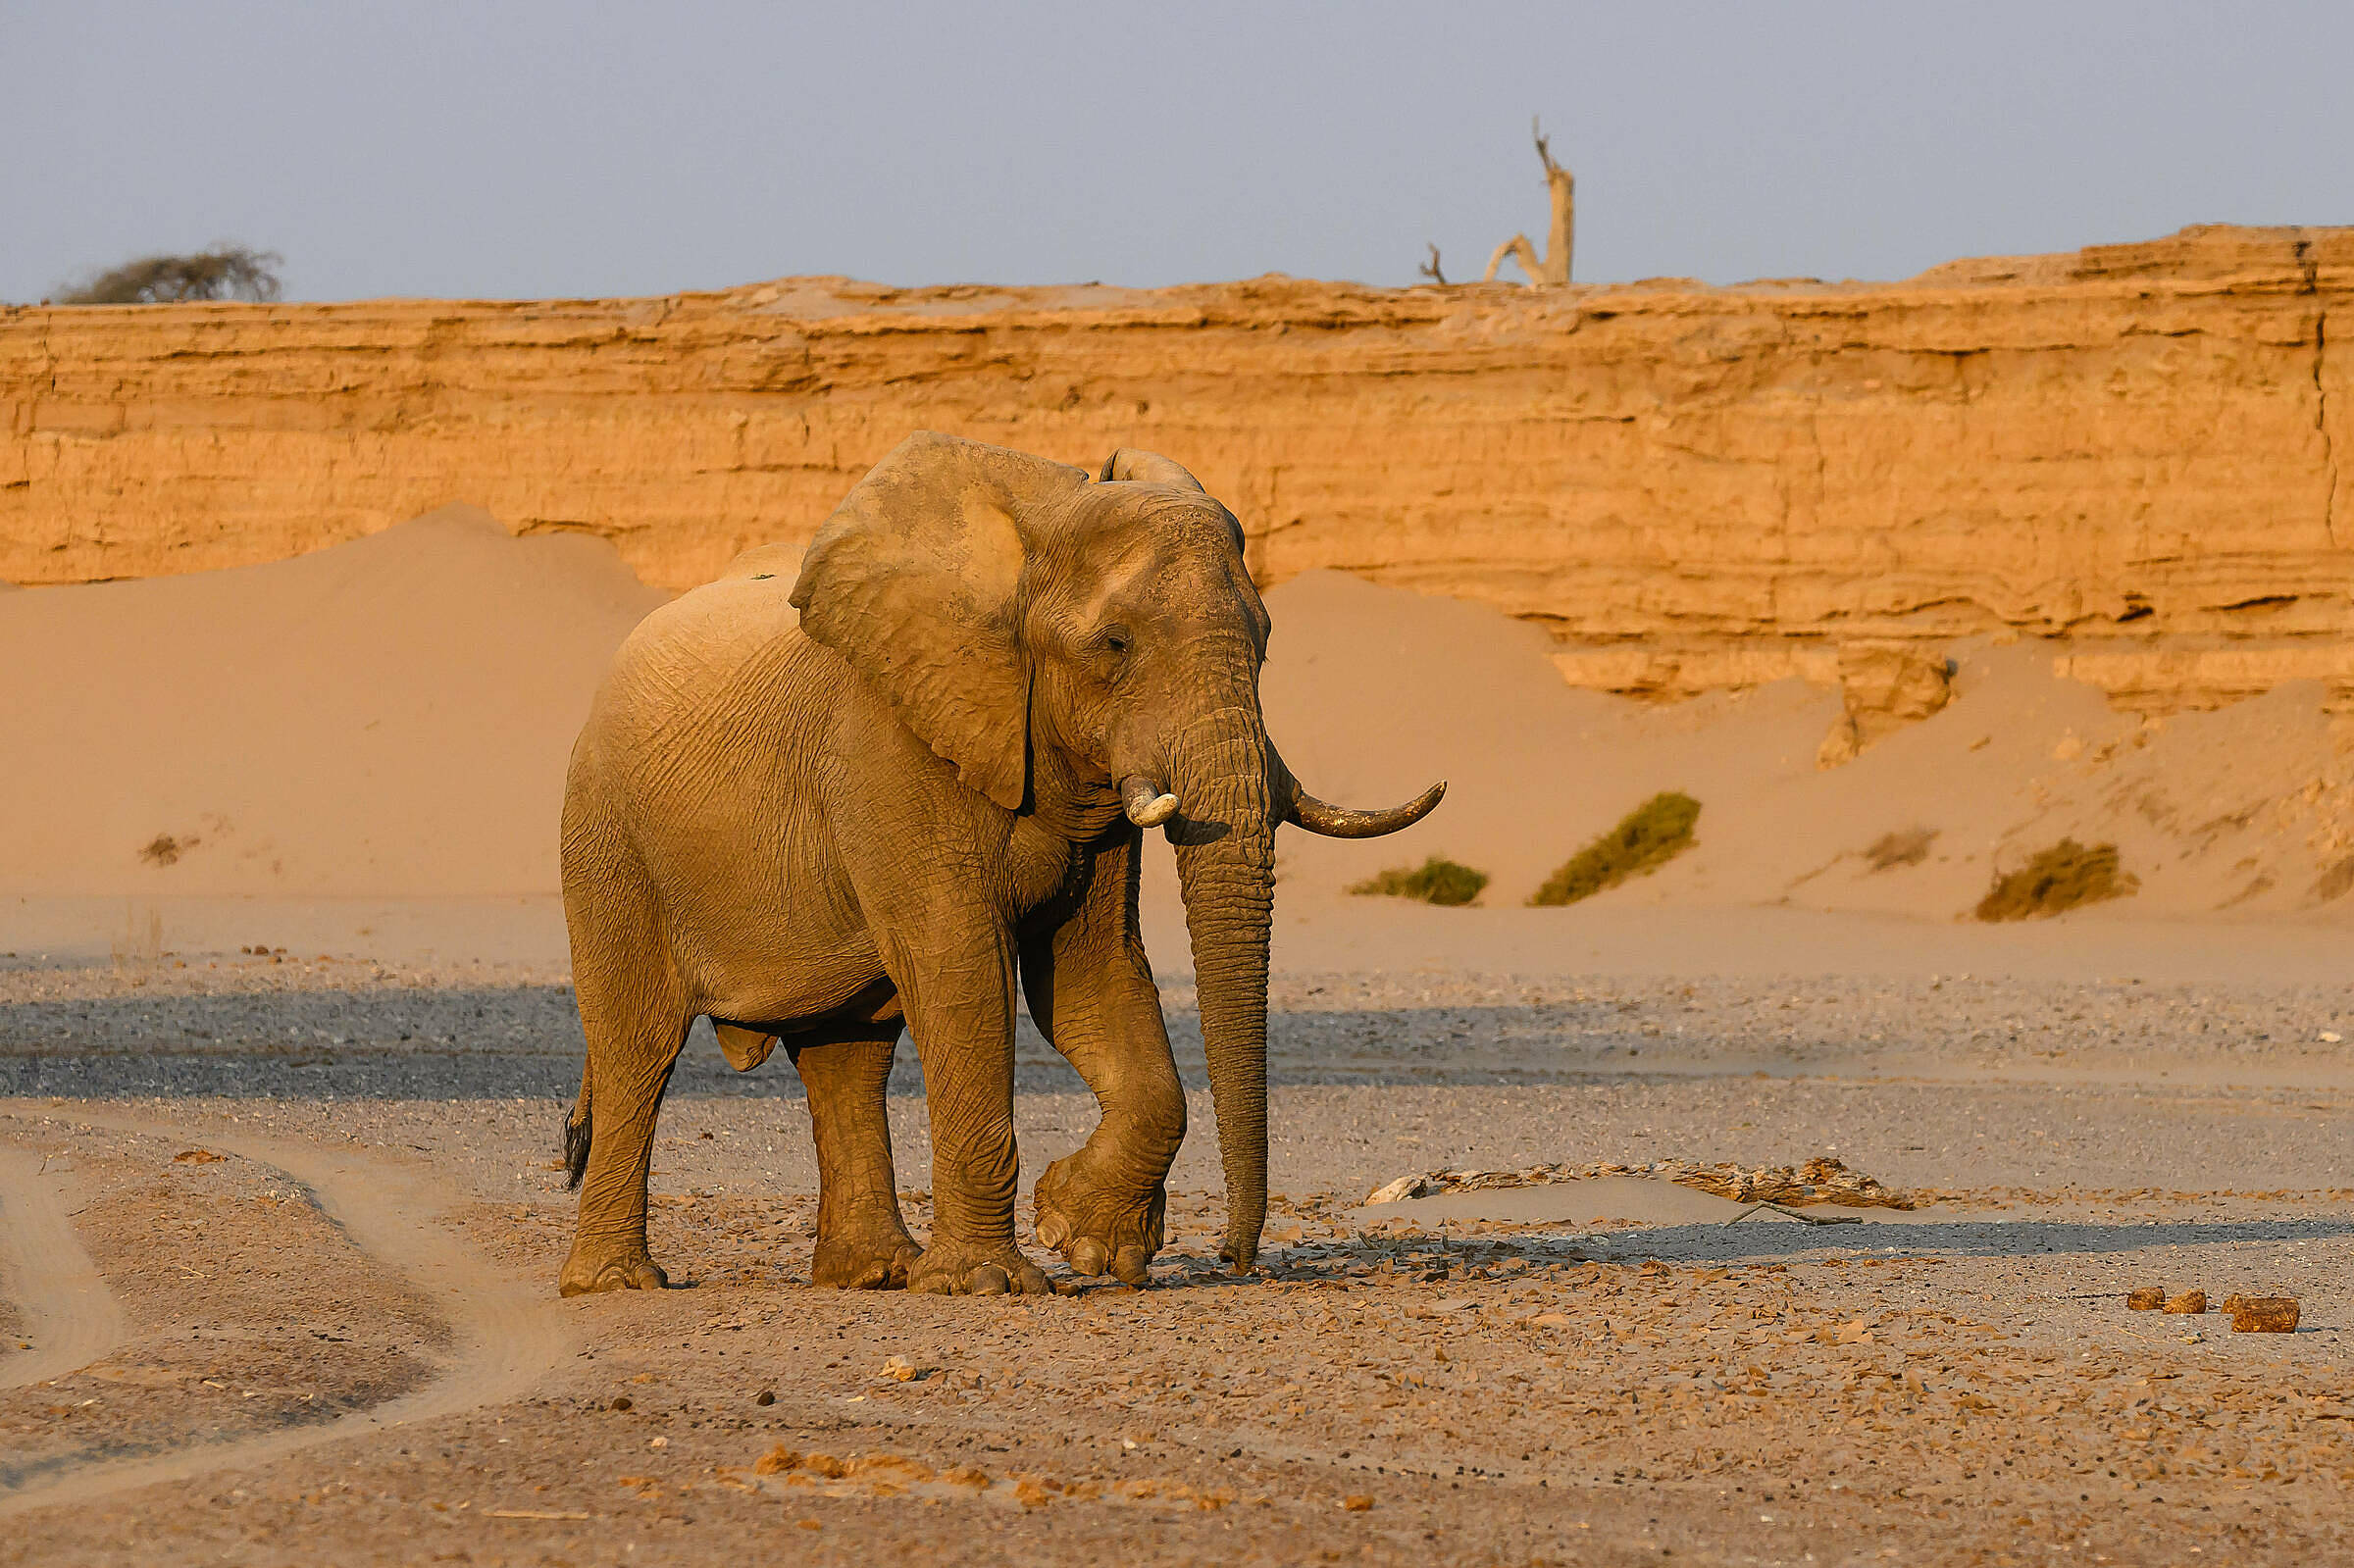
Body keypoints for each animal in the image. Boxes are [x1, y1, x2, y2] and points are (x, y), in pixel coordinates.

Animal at [553, 430, 1440, 1290]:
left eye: (1264, 644)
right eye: (1114, 644)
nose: (1232, 1257)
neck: (1039, 526)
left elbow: (1089, 975)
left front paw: (1089, 1244)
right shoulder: (889, 744)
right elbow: (964, 969)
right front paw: (990, 1281)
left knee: (849, 1056)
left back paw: (873, 1272)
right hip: (607, 841)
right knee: (638, 1050)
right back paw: (618, 1284)